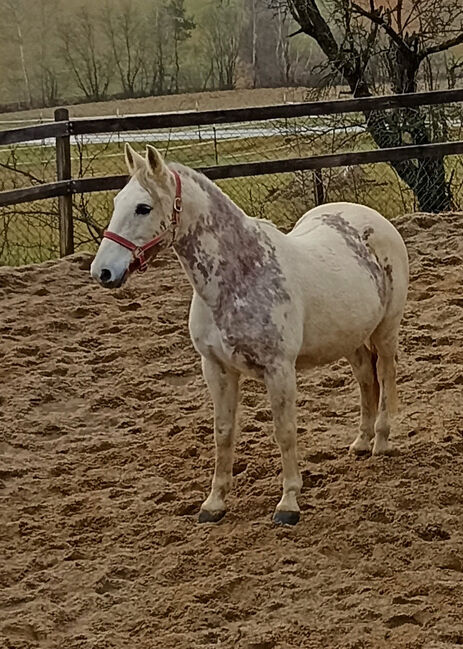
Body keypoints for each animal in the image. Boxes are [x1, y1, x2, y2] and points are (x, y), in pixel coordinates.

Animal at [90, 144, 409, 526]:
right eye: (116, 202)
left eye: (143, 207)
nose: (103, 271)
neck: (239, 279)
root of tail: (373, 220)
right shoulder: (216, 368)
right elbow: (223, 433)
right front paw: (214, 503)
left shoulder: (279, 370)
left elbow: (284, 432)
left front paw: (288, 504)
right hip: (350, 337)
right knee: (365, 379)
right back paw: (361, 443)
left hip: (386, 330)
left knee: (386, 375)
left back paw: (382, 442)